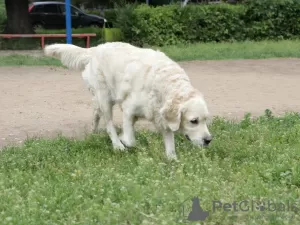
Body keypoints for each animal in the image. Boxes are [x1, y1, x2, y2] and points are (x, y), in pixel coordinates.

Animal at [44, 41, 213, 159]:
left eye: (206, 120)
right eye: (194, 121)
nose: (209, 140)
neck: (163, 85)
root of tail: (96, 48)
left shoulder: (161, 118)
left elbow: (170, 148)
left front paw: (172, 161)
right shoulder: (128, 110)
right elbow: (130, 139)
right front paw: (123, 140)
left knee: (96, 113)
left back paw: (93, 132)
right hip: (105, 99)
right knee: (109, 124)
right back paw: (117, 145)